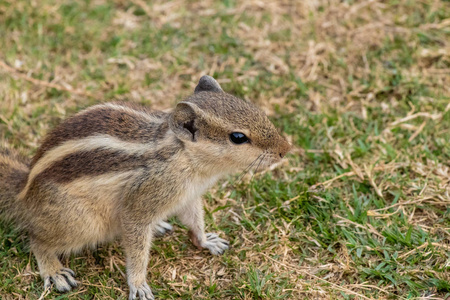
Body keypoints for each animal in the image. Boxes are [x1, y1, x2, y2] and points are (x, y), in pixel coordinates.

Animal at [0, 76, 292, 298]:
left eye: (255, 109)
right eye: (238, 137)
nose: (285, 150)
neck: (183, 154)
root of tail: (24, 190)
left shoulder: (188, 196)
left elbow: (194, 220)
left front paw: (205, 241)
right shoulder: (142, 202)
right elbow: (137, 249)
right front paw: (138, 285)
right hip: (80, 223)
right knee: (37, 240)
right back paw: (53, 270)